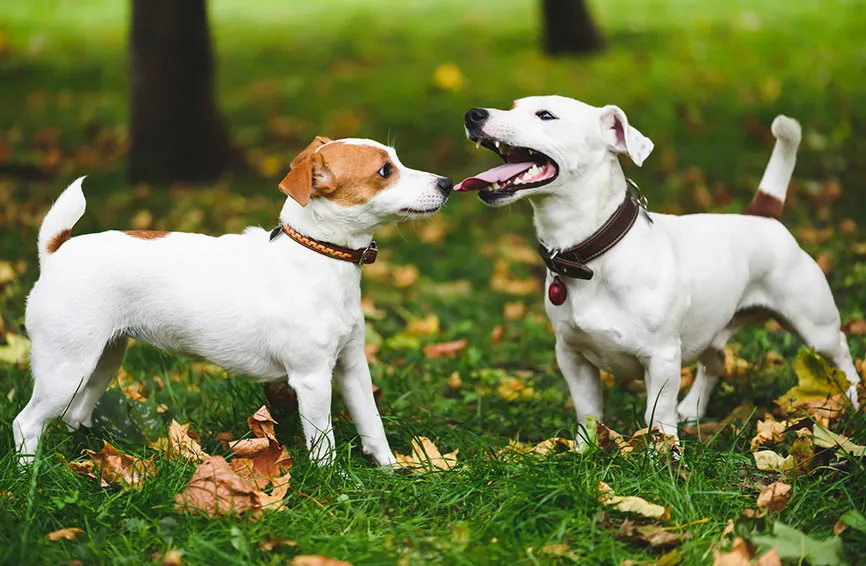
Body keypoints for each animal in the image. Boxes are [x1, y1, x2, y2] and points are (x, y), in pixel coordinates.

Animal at [11, 136, 452, 466]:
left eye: (396, 160)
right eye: (385, 171)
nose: (447, 183)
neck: (317, 255)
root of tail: (55, 251)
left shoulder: (352, 367)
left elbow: (372, 425)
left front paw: (391, 471)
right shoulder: (312, 379)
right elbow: (323, 443)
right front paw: (337, 485)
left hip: (101, 362)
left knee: (74, 413)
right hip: (66, 369)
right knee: (26, 423)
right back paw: (28, 476)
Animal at [456, 97, 860, 442]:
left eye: (545, 115)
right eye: (512, 106)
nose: (474, 114)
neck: (589, 255)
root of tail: (763, 214)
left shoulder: (662, 358)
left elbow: (658, 413)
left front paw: (663, 455)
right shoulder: (571, 356)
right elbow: (588, 410)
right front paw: (586, 449)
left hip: (813, 325)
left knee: (840, 349)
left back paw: (852, 399)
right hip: (711, 327)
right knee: (715, 361)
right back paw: (693, 408)